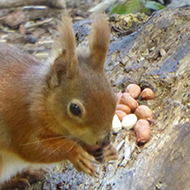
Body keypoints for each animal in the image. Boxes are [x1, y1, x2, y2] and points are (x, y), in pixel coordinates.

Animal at [0, 14, 117, 186]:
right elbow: (32, 149)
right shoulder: (21, 121)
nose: (104, 142)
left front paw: (106, 152)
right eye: (75, 109)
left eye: (115, 99)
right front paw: (75, 153)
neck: (41, 100)